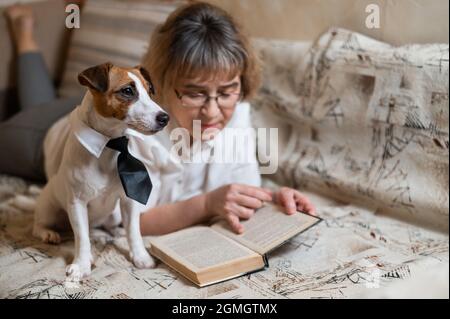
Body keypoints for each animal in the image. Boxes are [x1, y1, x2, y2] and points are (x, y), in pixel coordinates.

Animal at [32, 63, 169, 282]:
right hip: (49, 208)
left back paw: (116, 232)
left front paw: (140, 256)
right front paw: (81, 265)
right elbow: (82, 237)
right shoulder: (77, 204)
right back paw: (48, 233)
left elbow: (134, 231)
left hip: (114, 214)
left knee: (110, 226)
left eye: (149, 90)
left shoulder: (129, 201)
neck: (110, 145)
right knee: (39, 225)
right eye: (127, 91)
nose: (165, 118)